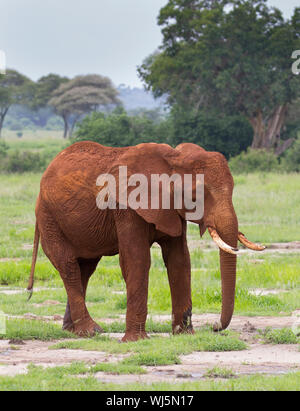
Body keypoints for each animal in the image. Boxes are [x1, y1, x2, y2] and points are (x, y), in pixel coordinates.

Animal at [26, 142, 264, 342]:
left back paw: (73, 331)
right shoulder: (126, 208)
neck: (172, 159)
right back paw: (91, 331)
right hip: (48, 217)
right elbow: (137, 260)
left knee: (85, 268)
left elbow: (180, 261)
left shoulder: (171, 210)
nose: (214, 327)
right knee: (68, 266)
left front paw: (184, 334)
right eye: (195, 196)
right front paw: (136, 340)